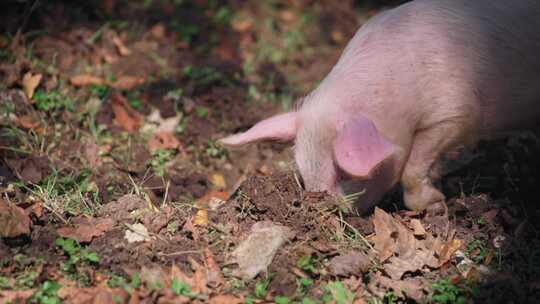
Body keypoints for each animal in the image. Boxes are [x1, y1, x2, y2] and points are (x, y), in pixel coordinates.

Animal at [218, 0, 540, 213]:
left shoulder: (455, 112)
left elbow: (414, 164)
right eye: (302, 170)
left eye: (344, 174)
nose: (326, 214)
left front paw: (435, 203)